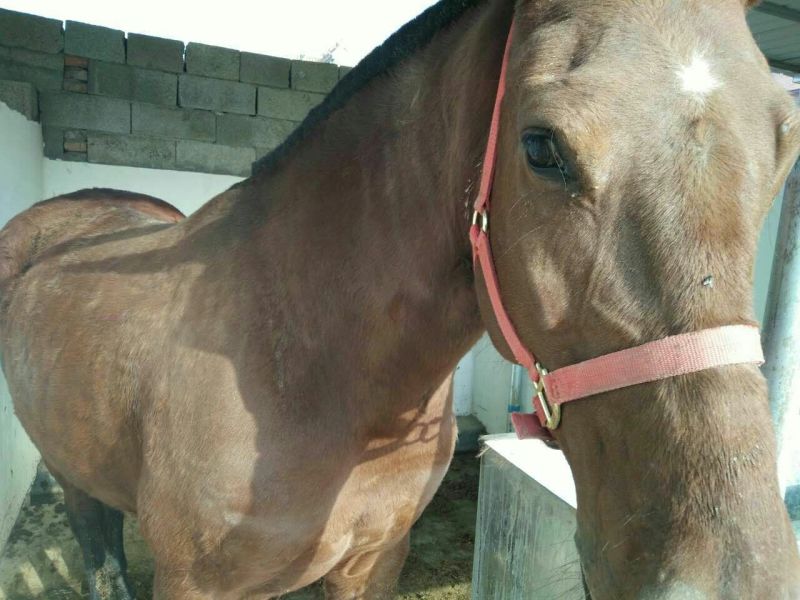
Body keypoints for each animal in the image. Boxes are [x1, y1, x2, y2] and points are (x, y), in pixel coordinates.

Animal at [1, 0, 799, 597]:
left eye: (784, 145)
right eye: (542, 147)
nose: (734, 576)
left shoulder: (375, 559)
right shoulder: (196, 583)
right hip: (73, 477)